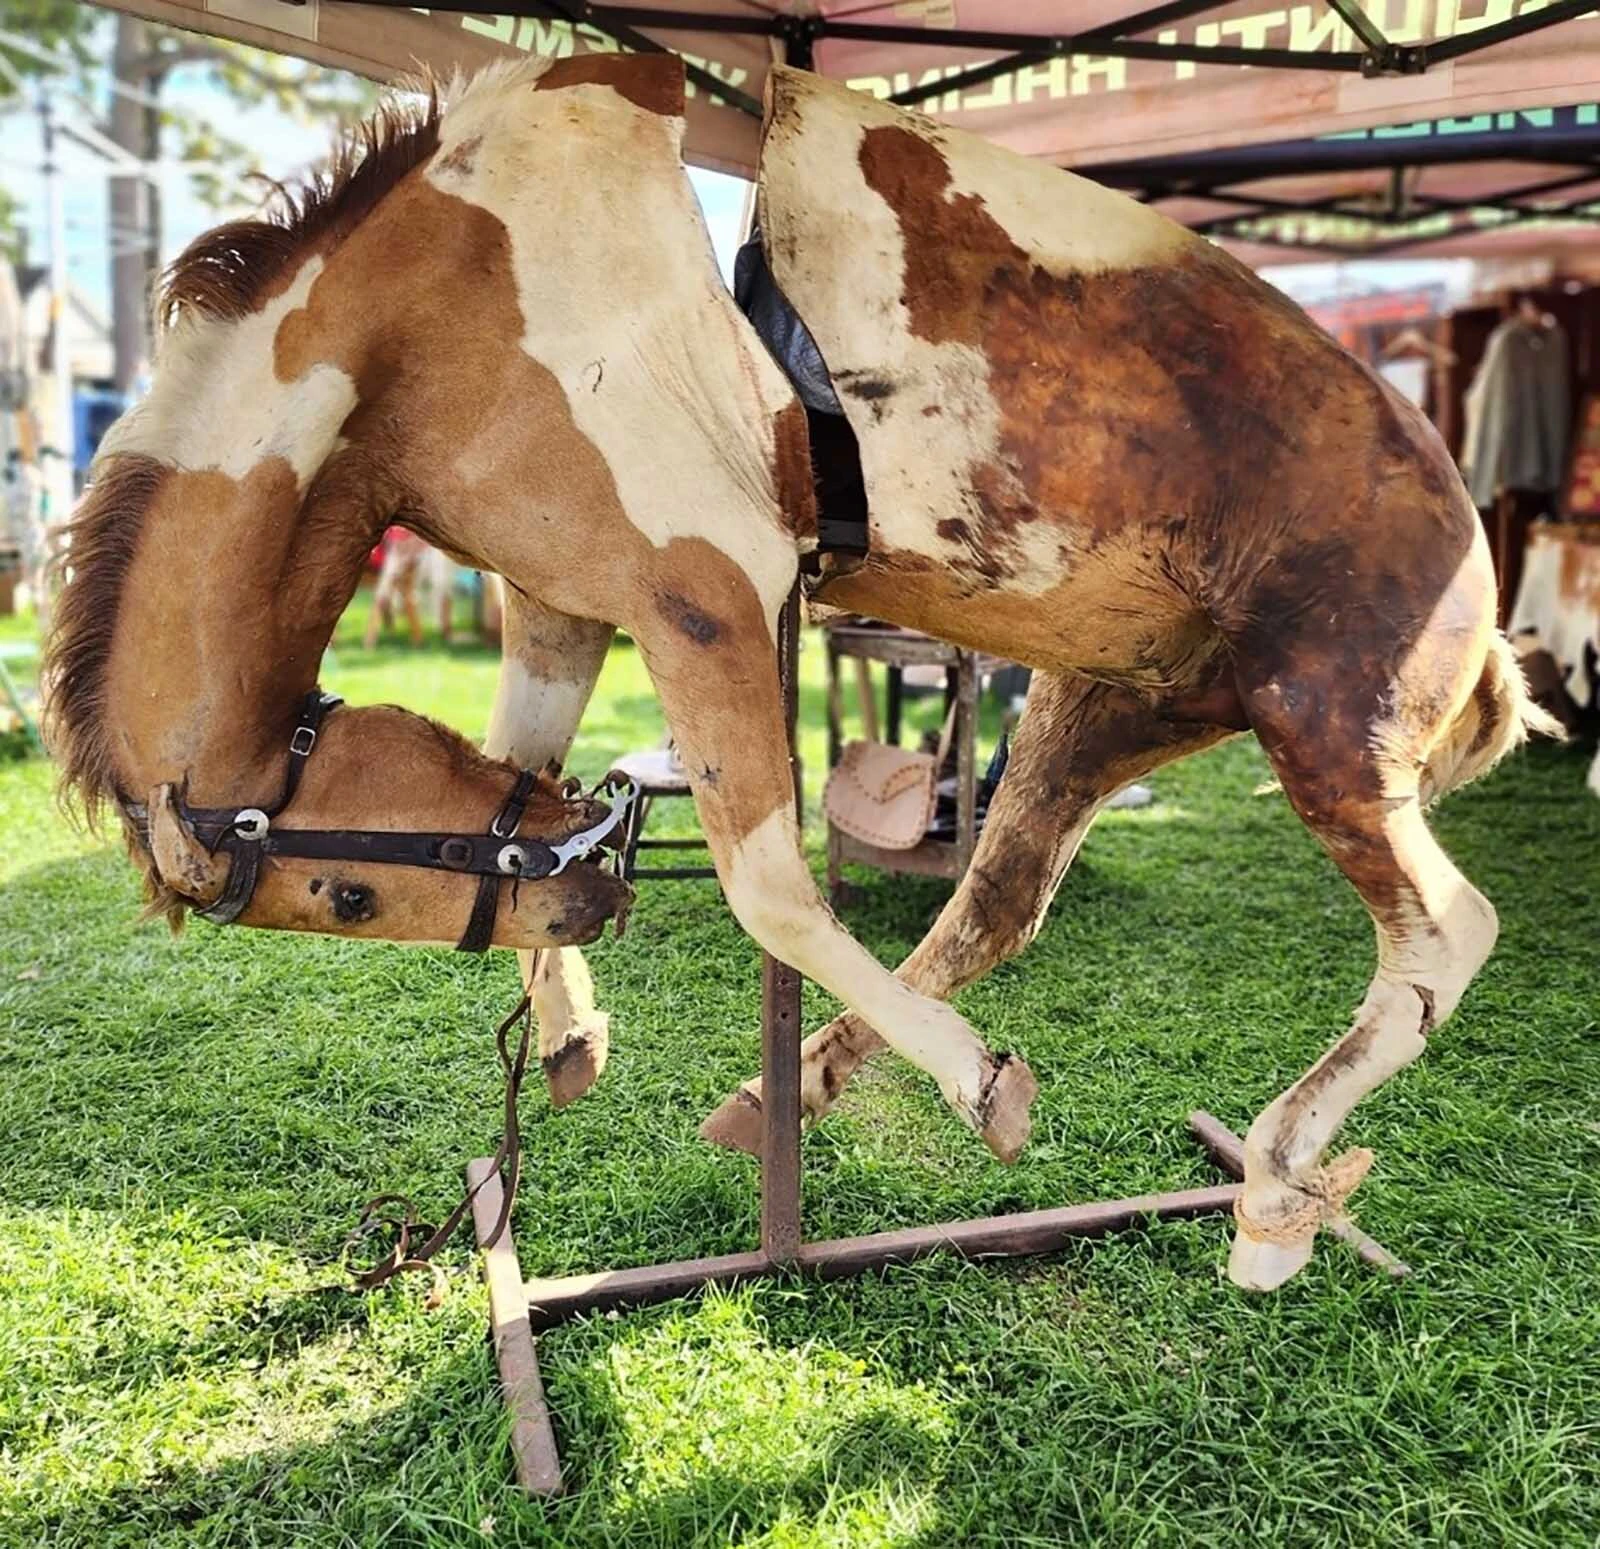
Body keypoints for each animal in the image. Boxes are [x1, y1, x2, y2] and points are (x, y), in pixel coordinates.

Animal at [41, 54, 1555, 1293]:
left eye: (345, 895)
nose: (594, 893)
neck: (436, 295)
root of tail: (1463, 537)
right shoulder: (559, 605)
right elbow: (530, 777)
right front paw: (575, 1031)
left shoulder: (707, 592)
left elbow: (768, 883)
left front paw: (984, 1089)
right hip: (1109, 707)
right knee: (997, 901)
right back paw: (804, 1088)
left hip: (1326, 727)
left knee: (1445, 934)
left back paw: (1275, 1192)